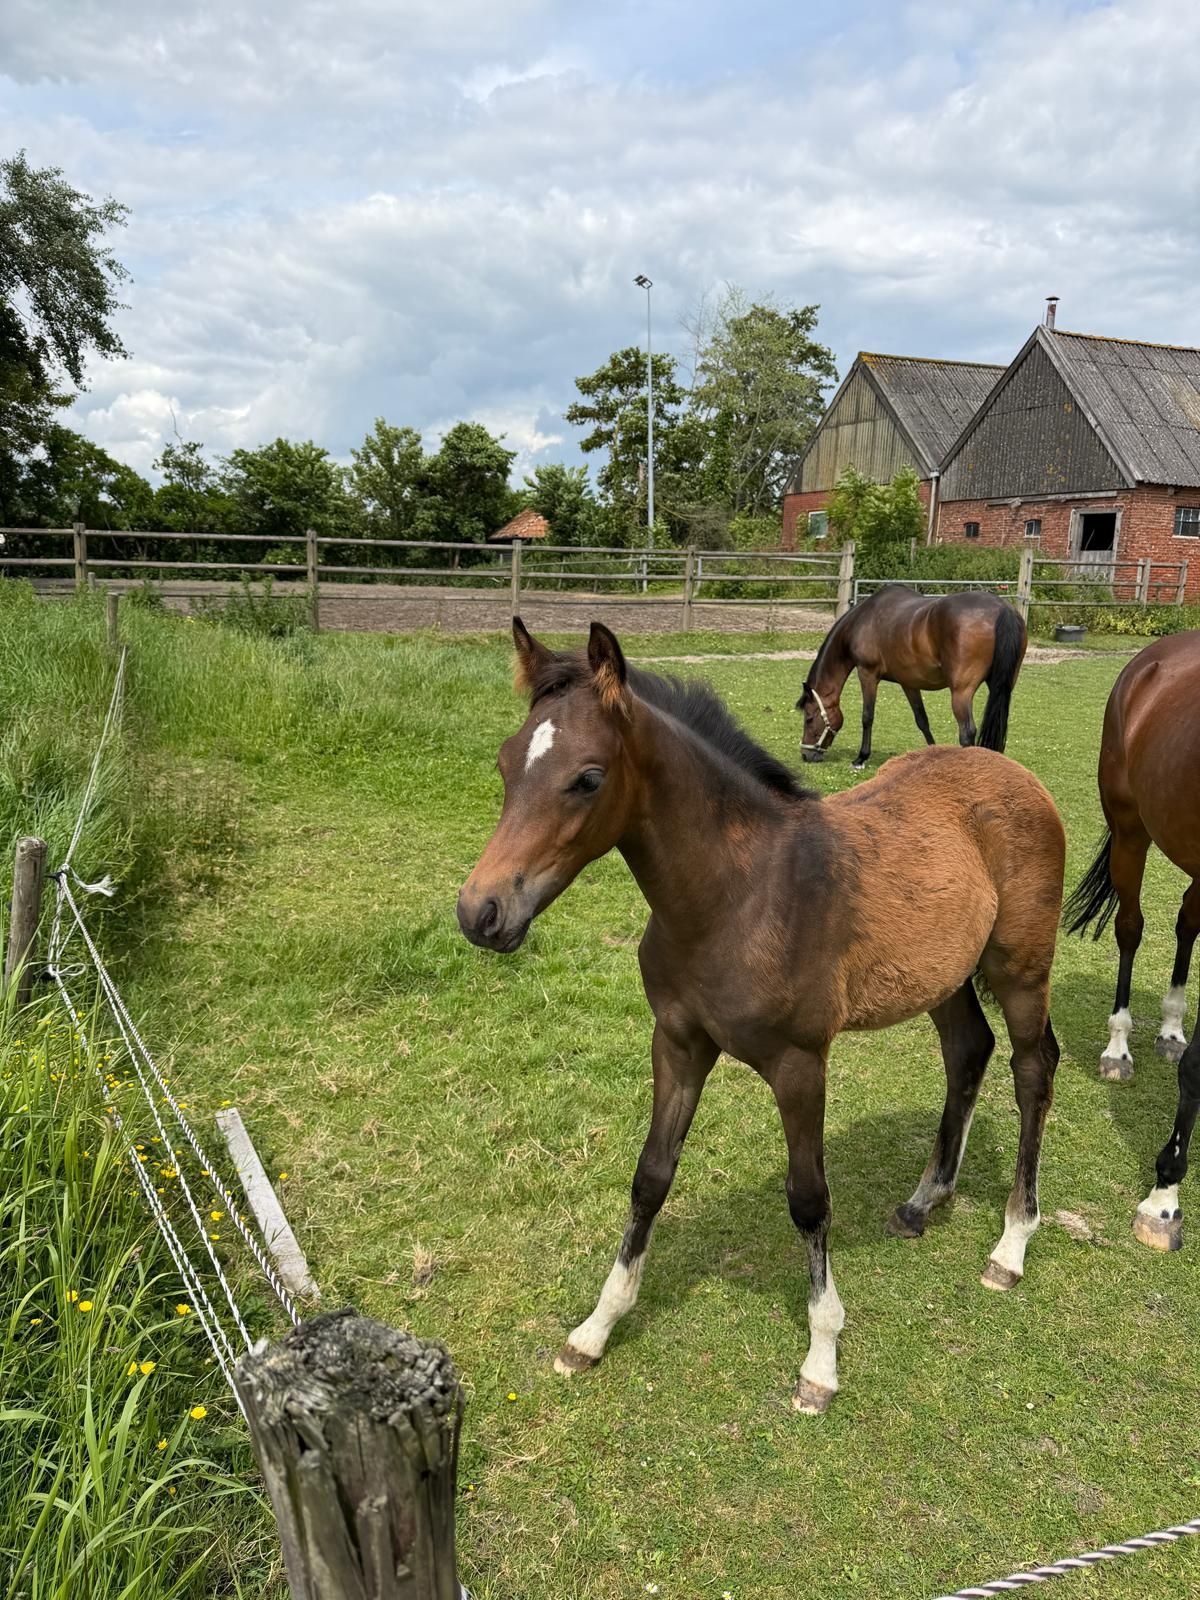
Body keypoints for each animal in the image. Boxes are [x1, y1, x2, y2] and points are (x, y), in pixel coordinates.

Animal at [457, 618, 1064, 1413]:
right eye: (505, 765)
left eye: (587, 778)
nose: (481, 912)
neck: (738, 896)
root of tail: (1014, 773)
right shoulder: (678, 1043)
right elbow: (650, 1176)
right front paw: (595, 1328)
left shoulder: (800, 1064)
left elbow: (809, 1199)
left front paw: (821, 1358)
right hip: (944, 978)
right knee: (969, 1051)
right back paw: (924, 1200)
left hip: (1019, 968)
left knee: (1032, 1069)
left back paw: (1012, 1243)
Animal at [796, 585, 1028, 770]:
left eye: (809, 718)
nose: (806, 754)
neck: (863, 620)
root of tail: (1003, 608)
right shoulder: (909, 683)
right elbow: (922, 720)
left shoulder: (867, 674)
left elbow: (867, 717)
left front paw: (861, 758)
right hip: (1002, 687)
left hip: (961, 692)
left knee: (967, 731)